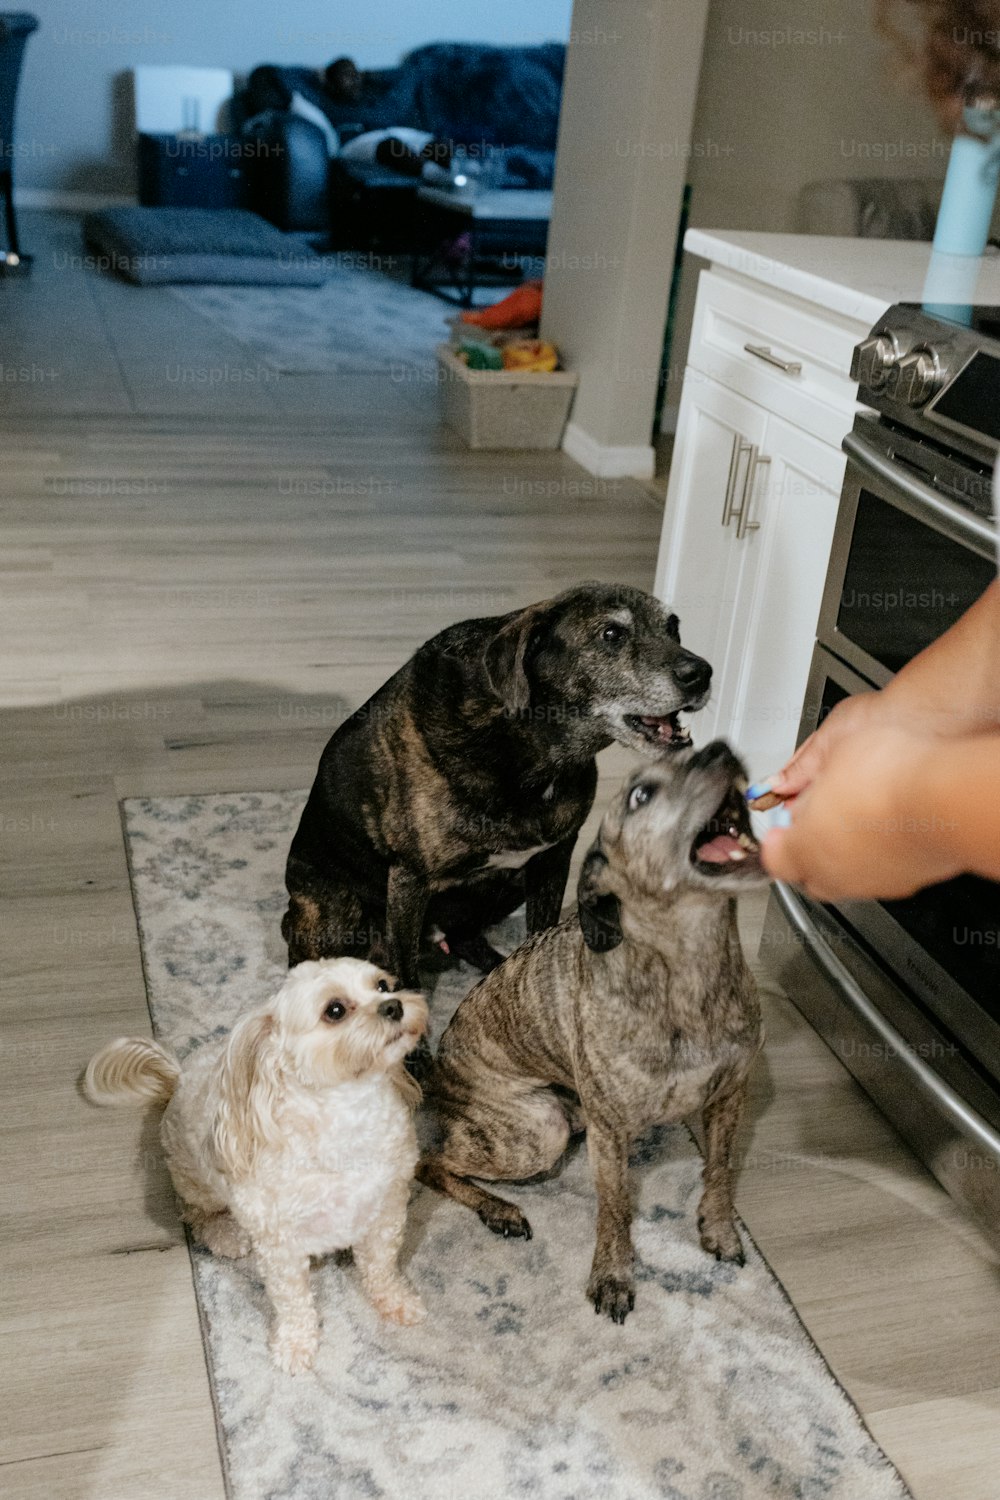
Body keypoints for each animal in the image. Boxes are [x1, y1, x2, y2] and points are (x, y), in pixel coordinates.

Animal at [86, 960, 431, 1374]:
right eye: (334, 1010)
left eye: (382, 985)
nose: (394, 1005)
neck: (347, 1115)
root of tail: (178, 1079)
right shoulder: (279, 1244)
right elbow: (293, 1301)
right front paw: (296, 1344)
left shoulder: (387, 1210)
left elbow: (381, 1265)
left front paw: (397, 1300)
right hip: (196, 1181)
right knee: (193, 1211)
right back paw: (224, 1234)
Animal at [281, 585, 710, 996]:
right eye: (611, 634)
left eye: (673, 628)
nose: (702, 673)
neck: (523, 746)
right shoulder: (408, 880)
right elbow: (409, 978)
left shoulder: (552, 858)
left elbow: (538, 936)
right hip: (338, 917)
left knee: (465, 937)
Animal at [419, 744, 767, 1320]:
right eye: (641, 794)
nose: (722, 749)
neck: (689, 968)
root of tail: (438, 1078)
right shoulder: (610, 1133)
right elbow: (615, 1207)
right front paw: (612, 1277)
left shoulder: (729, 1096)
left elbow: (718, 1170)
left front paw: (718, 1231)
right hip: (539, 1131)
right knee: (429, 1163)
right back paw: (500, 1210)